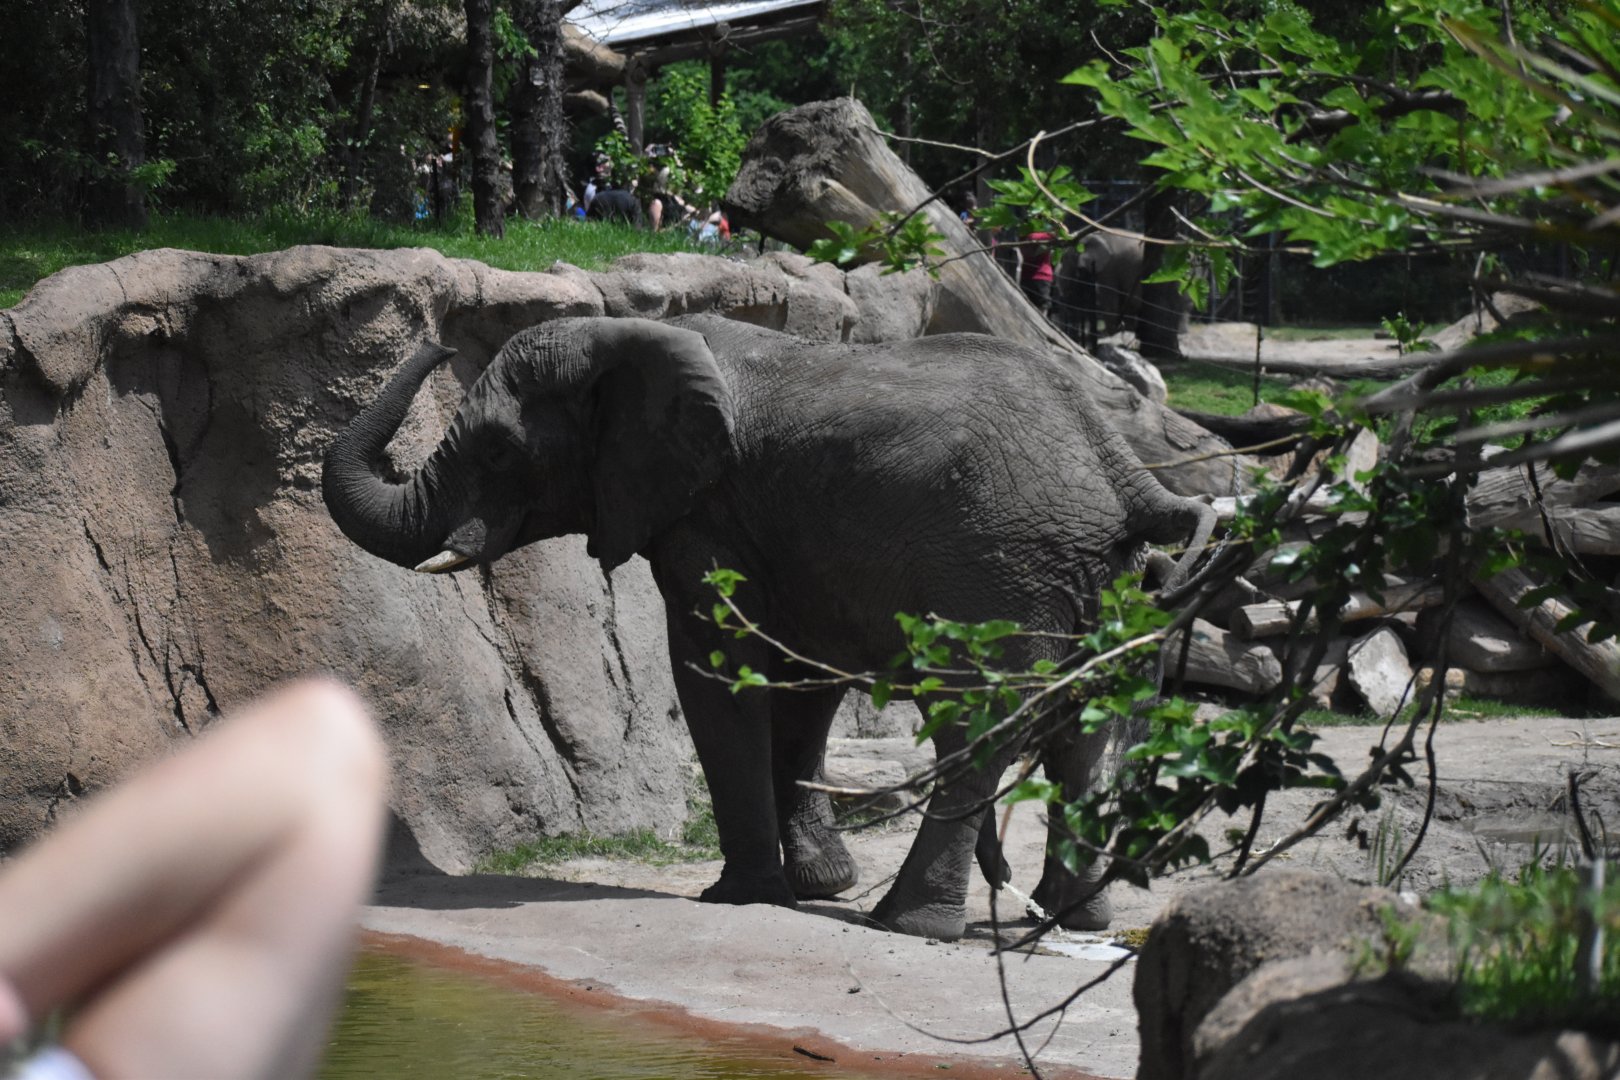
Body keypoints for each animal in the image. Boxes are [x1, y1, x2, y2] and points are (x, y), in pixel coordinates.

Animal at [322, 314, 1216, 940]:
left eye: (501, 451)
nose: (438, 342)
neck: (630, 333)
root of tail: (1125, 470)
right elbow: (804, 683)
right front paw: (821, 886)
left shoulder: (708, 515)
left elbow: (716, 669)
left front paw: (739, 896)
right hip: (1105, 577)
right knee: (1090, 730)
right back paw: (1072, 921)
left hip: (1001, 570)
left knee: (977, 725)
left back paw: (909, 925)